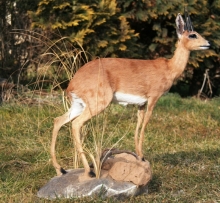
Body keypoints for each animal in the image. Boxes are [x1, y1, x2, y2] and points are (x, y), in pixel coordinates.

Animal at [50, 10, 210, 177]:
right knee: (76, 124)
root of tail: (72, 84)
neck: (169, 68)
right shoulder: (153, 98)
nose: (208, 43)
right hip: (97, 104)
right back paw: (89, 171)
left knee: (58, 121)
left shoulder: (141, 104)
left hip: (78, 105)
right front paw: (143, 156)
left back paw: (61, 169)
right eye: (193, 35)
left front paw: (139, 156)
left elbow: (138, 125)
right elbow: (145, 124)